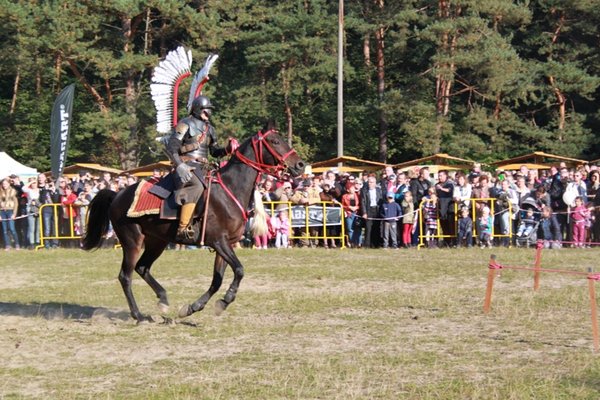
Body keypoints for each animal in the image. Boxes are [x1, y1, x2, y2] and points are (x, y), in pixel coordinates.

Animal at [82, 130, 304, 324]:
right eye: (274, 141)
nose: (300, 165)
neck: (230, 189)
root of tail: (117, 195)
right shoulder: (219, 241)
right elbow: (239, 270)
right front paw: (224, 301)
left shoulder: (227, 244)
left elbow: (217, 280)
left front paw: (194, 307)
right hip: (132, 242)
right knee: (125, 276)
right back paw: (138, 315)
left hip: (157, 242)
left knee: (142, 268)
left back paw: (163, 301)